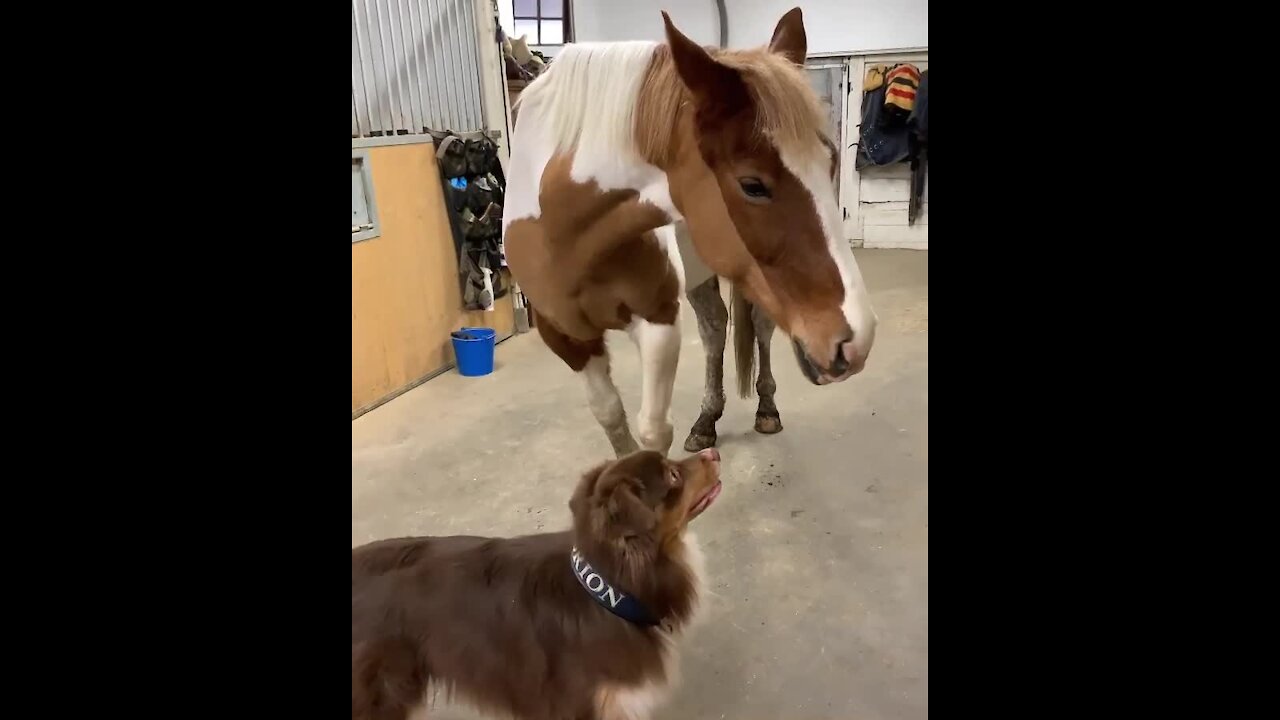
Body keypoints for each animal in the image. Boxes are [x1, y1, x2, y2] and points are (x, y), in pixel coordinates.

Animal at [504, 8, 875, 456]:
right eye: (752, 185)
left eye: (831, 162)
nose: (856, 340)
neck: (566, 234)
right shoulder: (565, 336)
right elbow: (611, 418)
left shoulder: (658, 321)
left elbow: (652, 431)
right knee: (715, 327)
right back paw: (706, 420)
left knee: (760, 327)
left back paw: (766, 409)